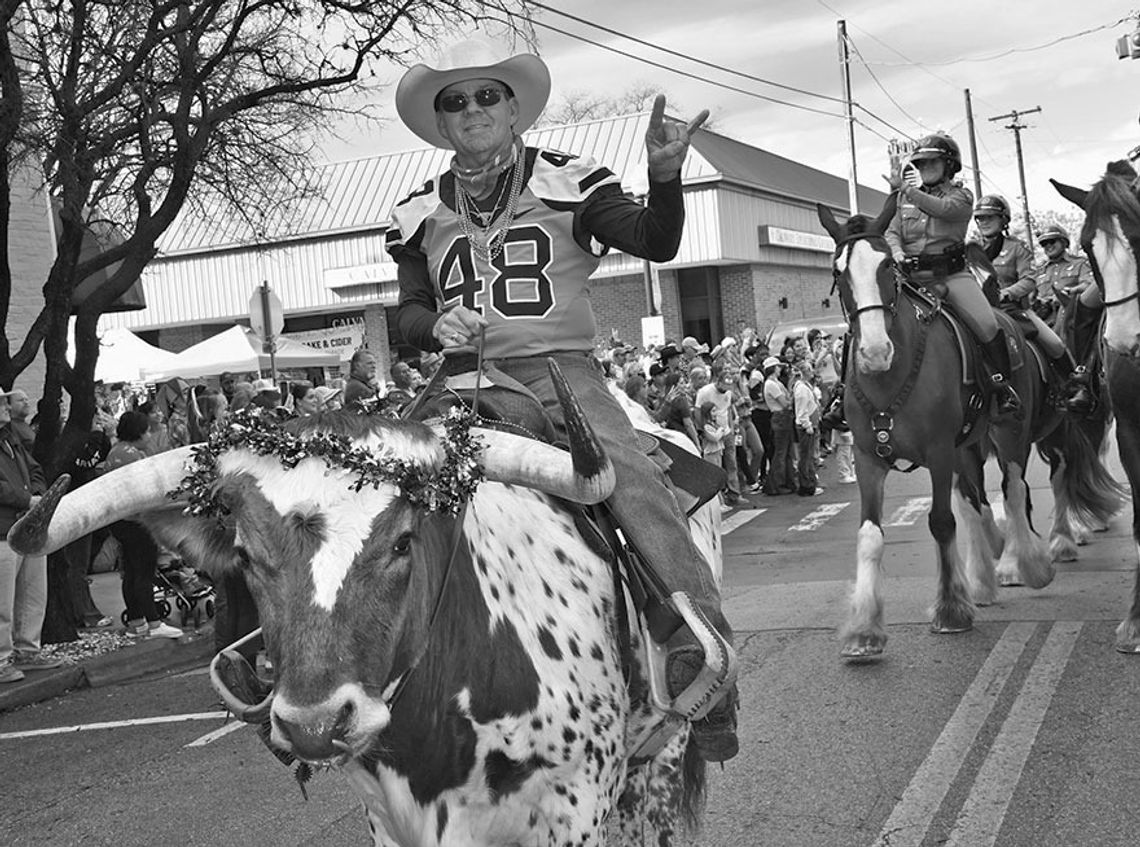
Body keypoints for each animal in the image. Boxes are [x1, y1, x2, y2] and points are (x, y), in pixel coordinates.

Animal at [816, 200, 1062, 661]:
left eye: (888, 267)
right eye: (839, 271)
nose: (874, 352)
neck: (890, 376)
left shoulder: (939, 451)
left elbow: (942, 522)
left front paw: (950, 610)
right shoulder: (867, 458)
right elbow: (870, 535)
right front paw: (864, 629)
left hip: (1009, 434)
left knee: (1013, 490)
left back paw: (1025, 564)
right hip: (969, 445)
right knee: (975, 501)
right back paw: (983, 578)